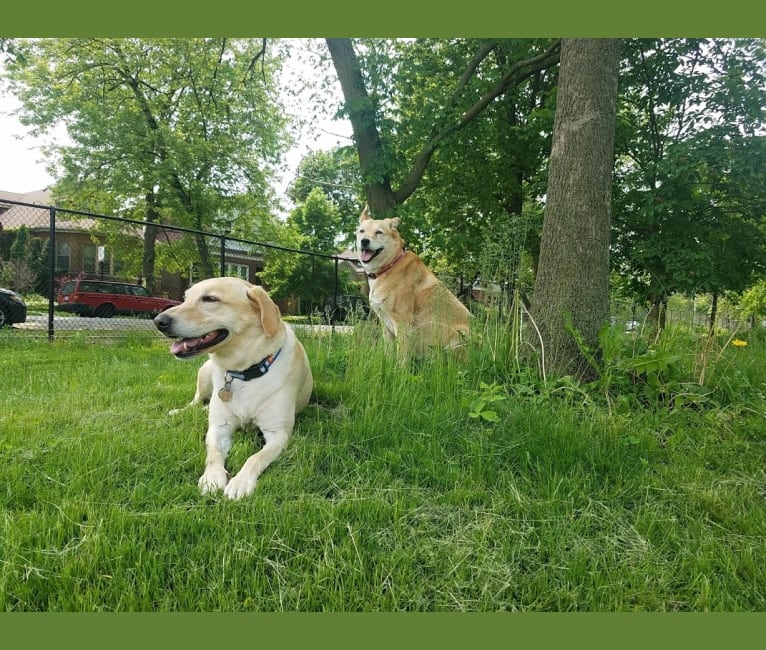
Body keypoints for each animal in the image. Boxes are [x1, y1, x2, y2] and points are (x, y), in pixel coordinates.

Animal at [154, 276, 314, 498]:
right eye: (185, 298)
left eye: (210, 299)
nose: (159, 320)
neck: (244, 372)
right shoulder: (218, 428)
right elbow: (213, 454)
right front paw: (212, 478)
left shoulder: (278, 434)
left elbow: (255, 458)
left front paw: (240, 482)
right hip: (204, 373)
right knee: (196, 401)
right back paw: (182, 410)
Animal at [356, 206, 472, 360]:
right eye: (362, 231)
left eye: (379, 232)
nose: (364, 241)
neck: (390, 265)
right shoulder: (385, 325)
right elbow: (388, 353)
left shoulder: (402, 323)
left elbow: (401, 357)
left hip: (460, 335)